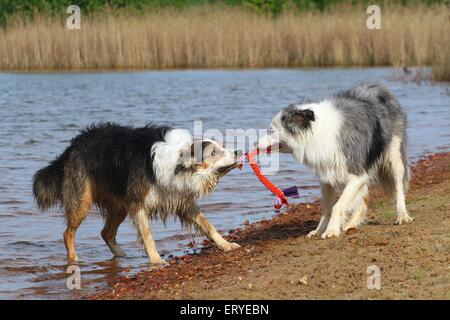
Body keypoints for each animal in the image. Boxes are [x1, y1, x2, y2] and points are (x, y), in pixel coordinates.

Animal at [33, 122, 243, 262]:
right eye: (213, 153)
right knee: (68, 233)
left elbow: (208, 225)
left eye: (222, 147)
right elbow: (148, 236)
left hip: (119, 204)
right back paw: (74, 260)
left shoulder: (182, 199)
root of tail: (72, 147)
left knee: (106, 232)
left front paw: (226, 245)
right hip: (82, 200)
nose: (238, 152)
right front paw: (157, 261)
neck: (177, 161)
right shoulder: (138, 204)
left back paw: (121, 256)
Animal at [258, 82, 414, 238]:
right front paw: (319, 230)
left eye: (271, 130)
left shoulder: (357, 174)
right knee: (363, 199)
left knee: (398, 186)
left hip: (393, 155)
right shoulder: (327, 175)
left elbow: (338, 206)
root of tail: (378, 86)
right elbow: (326, 208)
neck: (317, 133)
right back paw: (351, 224)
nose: (254, 143)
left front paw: (331, 230)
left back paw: (402, 215)